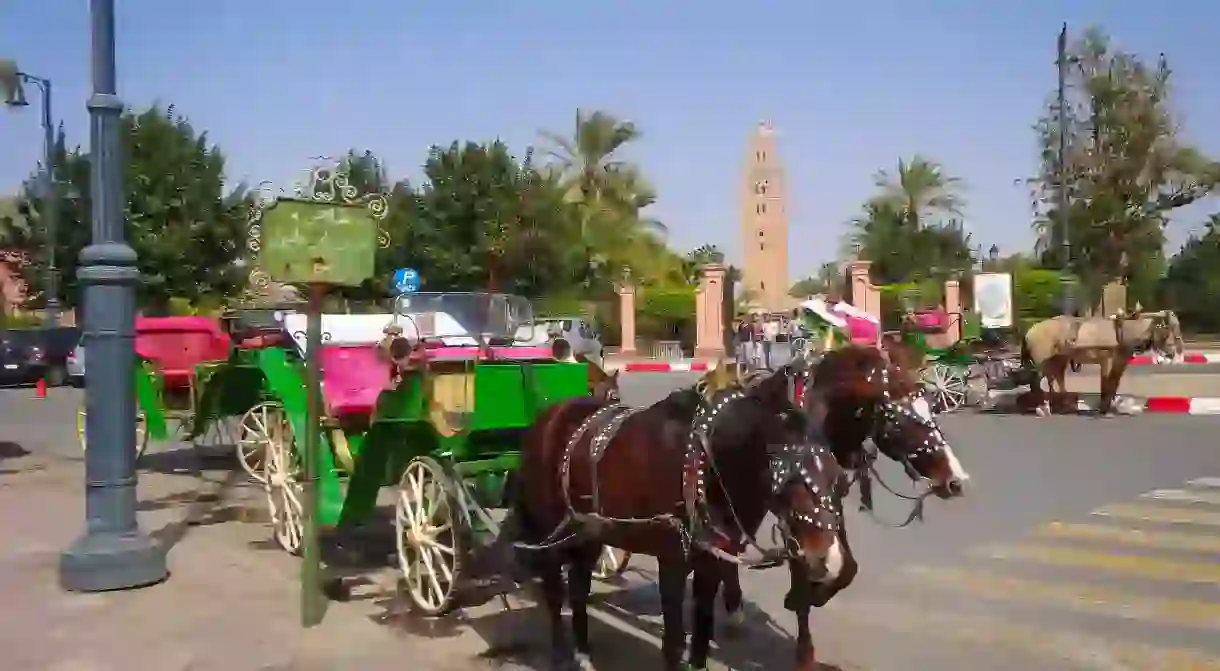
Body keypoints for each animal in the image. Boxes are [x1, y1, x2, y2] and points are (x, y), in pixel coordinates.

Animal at [512, 370, 839, 668]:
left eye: (838, 476)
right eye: (789, 474)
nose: (828, 559)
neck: (699, 467)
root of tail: (548, 416)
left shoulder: (712, 560)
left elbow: (702, 634)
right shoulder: (671, 560)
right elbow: (674, 642)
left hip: (589, 531)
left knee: (579, 587)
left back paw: (583, 653)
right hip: (551, 532)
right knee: (555, 591)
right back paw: (560, 652)